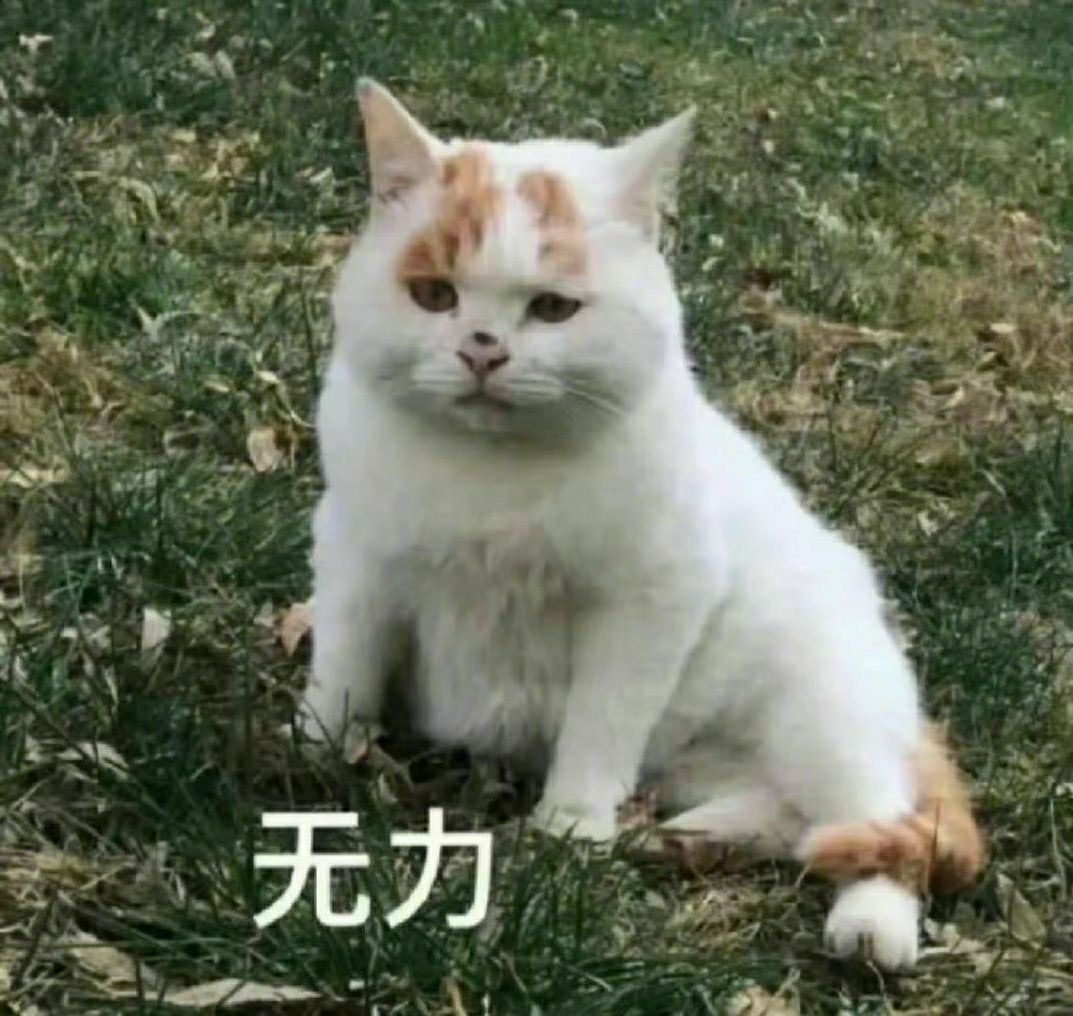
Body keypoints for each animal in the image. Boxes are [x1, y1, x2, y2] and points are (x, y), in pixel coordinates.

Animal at [297, 79, 985, 970]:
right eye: (434, 293)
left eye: (553, 308)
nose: (481, 348)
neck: (491, 473)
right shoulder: (353, 557)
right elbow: (342, 674)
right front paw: (312, 759)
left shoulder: (653, 600)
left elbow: (600, 723)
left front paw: (569, 829)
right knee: (788, 822)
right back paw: (690, 838)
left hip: (821, 713)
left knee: (875, 826)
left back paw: (869, 925)